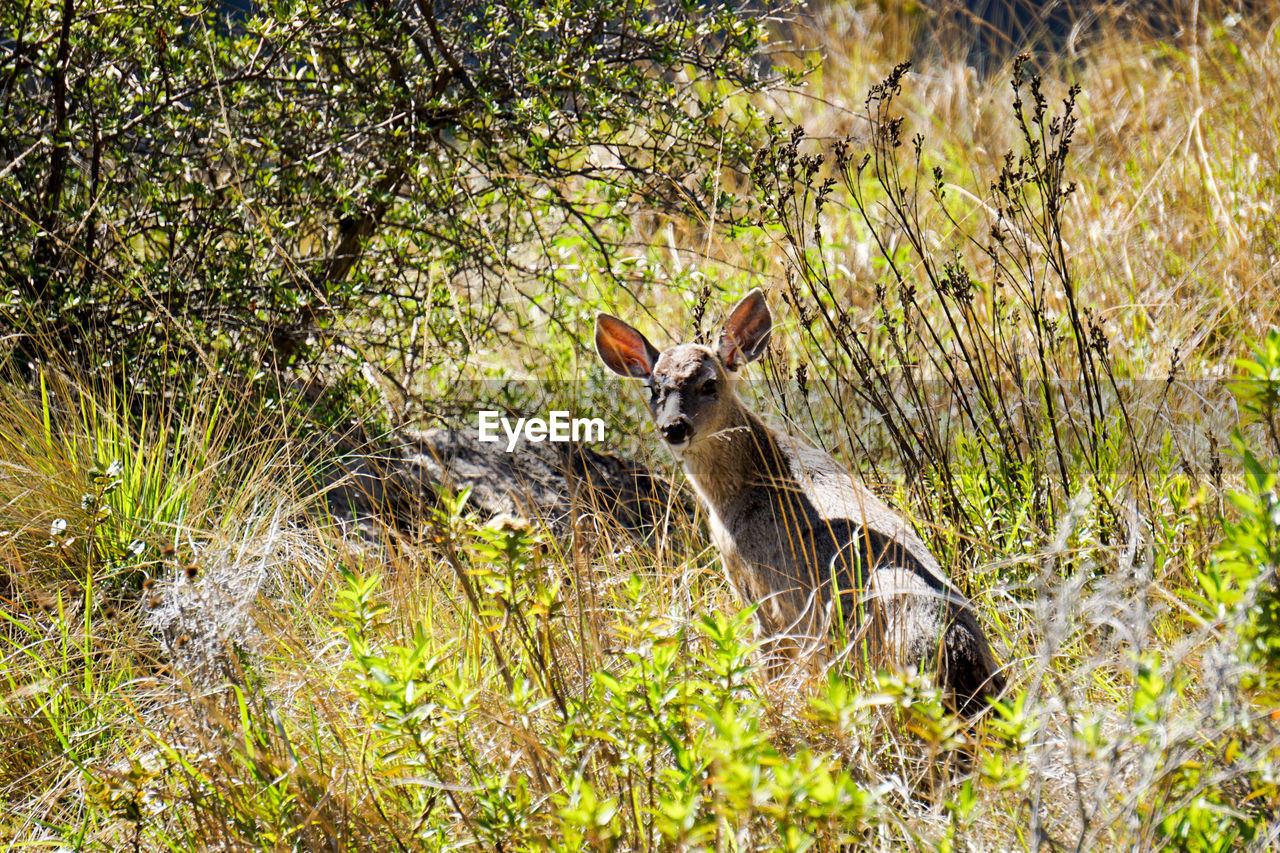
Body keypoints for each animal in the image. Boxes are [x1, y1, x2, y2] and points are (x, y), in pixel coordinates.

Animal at [593, 289, 1003, 712]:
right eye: (653, 390)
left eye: (709, 383)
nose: (674, 427)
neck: (745, 486)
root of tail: (957, 650)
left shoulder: (758, 590)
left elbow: (768, 665)